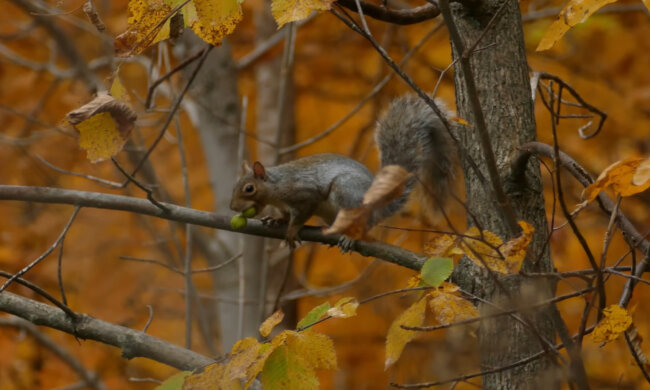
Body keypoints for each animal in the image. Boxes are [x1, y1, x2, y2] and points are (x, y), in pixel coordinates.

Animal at [230, 95, 454, 247]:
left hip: (345, 190)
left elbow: (302, 213)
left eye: (249, 188)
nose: (232, 207)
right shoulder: (285, 205)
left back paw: (350, 237)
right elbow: (285, 215)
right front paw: (276, 219)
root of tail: (377, 207)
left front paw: (292, 231)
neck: (276, 187)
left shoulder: (303, 193)